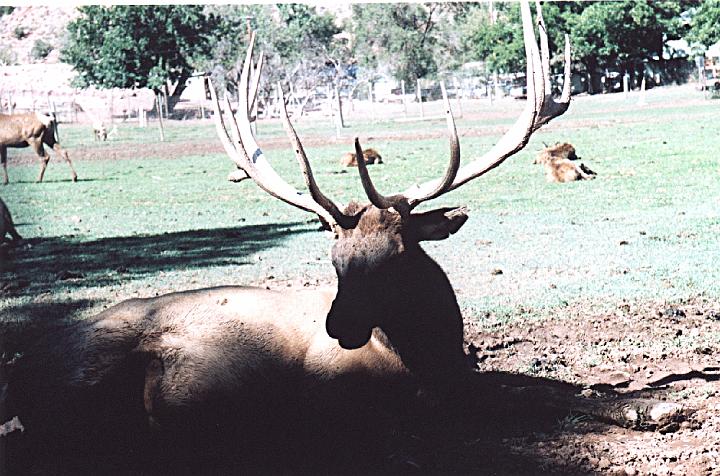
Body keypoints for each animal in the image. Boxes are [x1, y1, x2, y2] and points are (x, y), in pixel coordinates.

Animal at [2, 5, 684, 474]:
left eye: (400, 256)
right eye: (333, 260)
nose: (340, 325)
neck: (432, 350)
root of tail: (21, 379)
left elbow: (548, 387)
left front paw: (654, 406)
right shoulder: (368, 393)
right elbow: (513, 395)